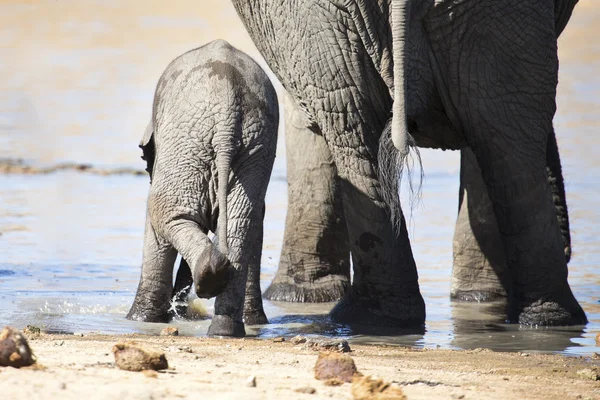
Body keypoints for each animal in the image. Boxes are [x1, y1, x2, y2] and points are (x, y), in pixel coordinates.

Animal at [127, 39, 280, 336]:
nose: (180, 306)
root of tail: (227, 117)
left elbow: (154, 230)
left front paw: (141, 320)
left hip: (188, 142)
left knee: (165, 211)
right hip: (254, 147)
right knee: (242, 228)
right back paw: (224, 325)